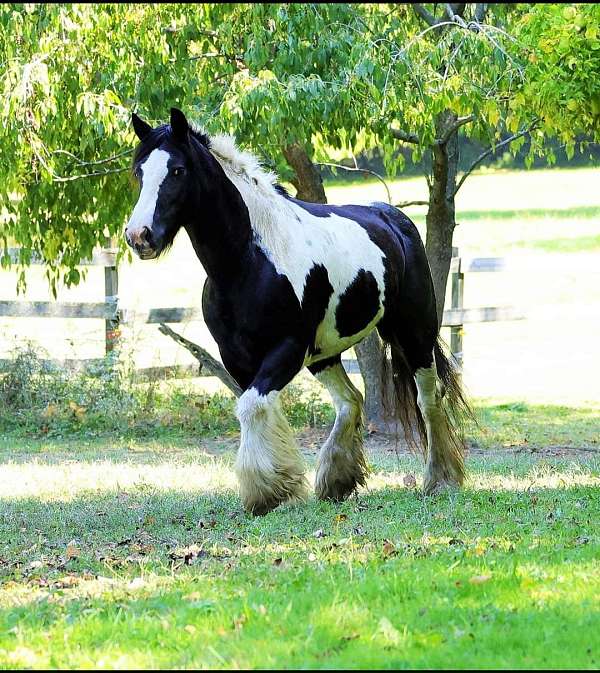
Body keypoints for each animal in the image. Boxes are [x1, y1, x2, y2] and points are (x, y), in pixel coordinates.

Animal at [126, 106, 472, 516]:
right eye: (139, 171)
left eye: (177, 170)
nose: (139, 236)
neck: (248, 259)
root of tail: (394, 219)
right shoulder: (238, 358)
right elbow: (255, 407)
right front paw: (280, 486)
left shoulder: (288, 348)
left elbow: (252, 407)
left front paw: (268, 491)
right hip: (325, 355)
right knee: (350, 401)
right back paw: (338, 480)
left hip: (413, 333)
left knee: (428, 399)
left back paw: (440, 479)